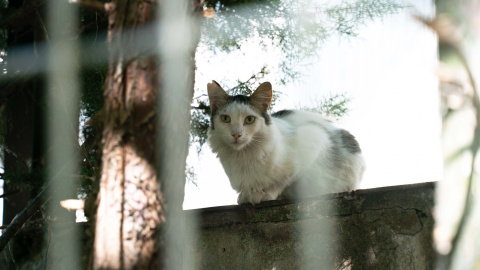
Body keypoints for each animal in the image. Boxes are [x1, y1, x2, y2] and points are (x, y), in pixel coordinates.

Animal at [206, 80, 364, 205]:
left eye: (249, 119)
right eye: (225, 119)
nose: (236, 134)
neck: (243, 157)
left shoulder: (314, 138)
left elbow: (283, 180)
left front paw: (265, 193)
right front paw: (246, 195)